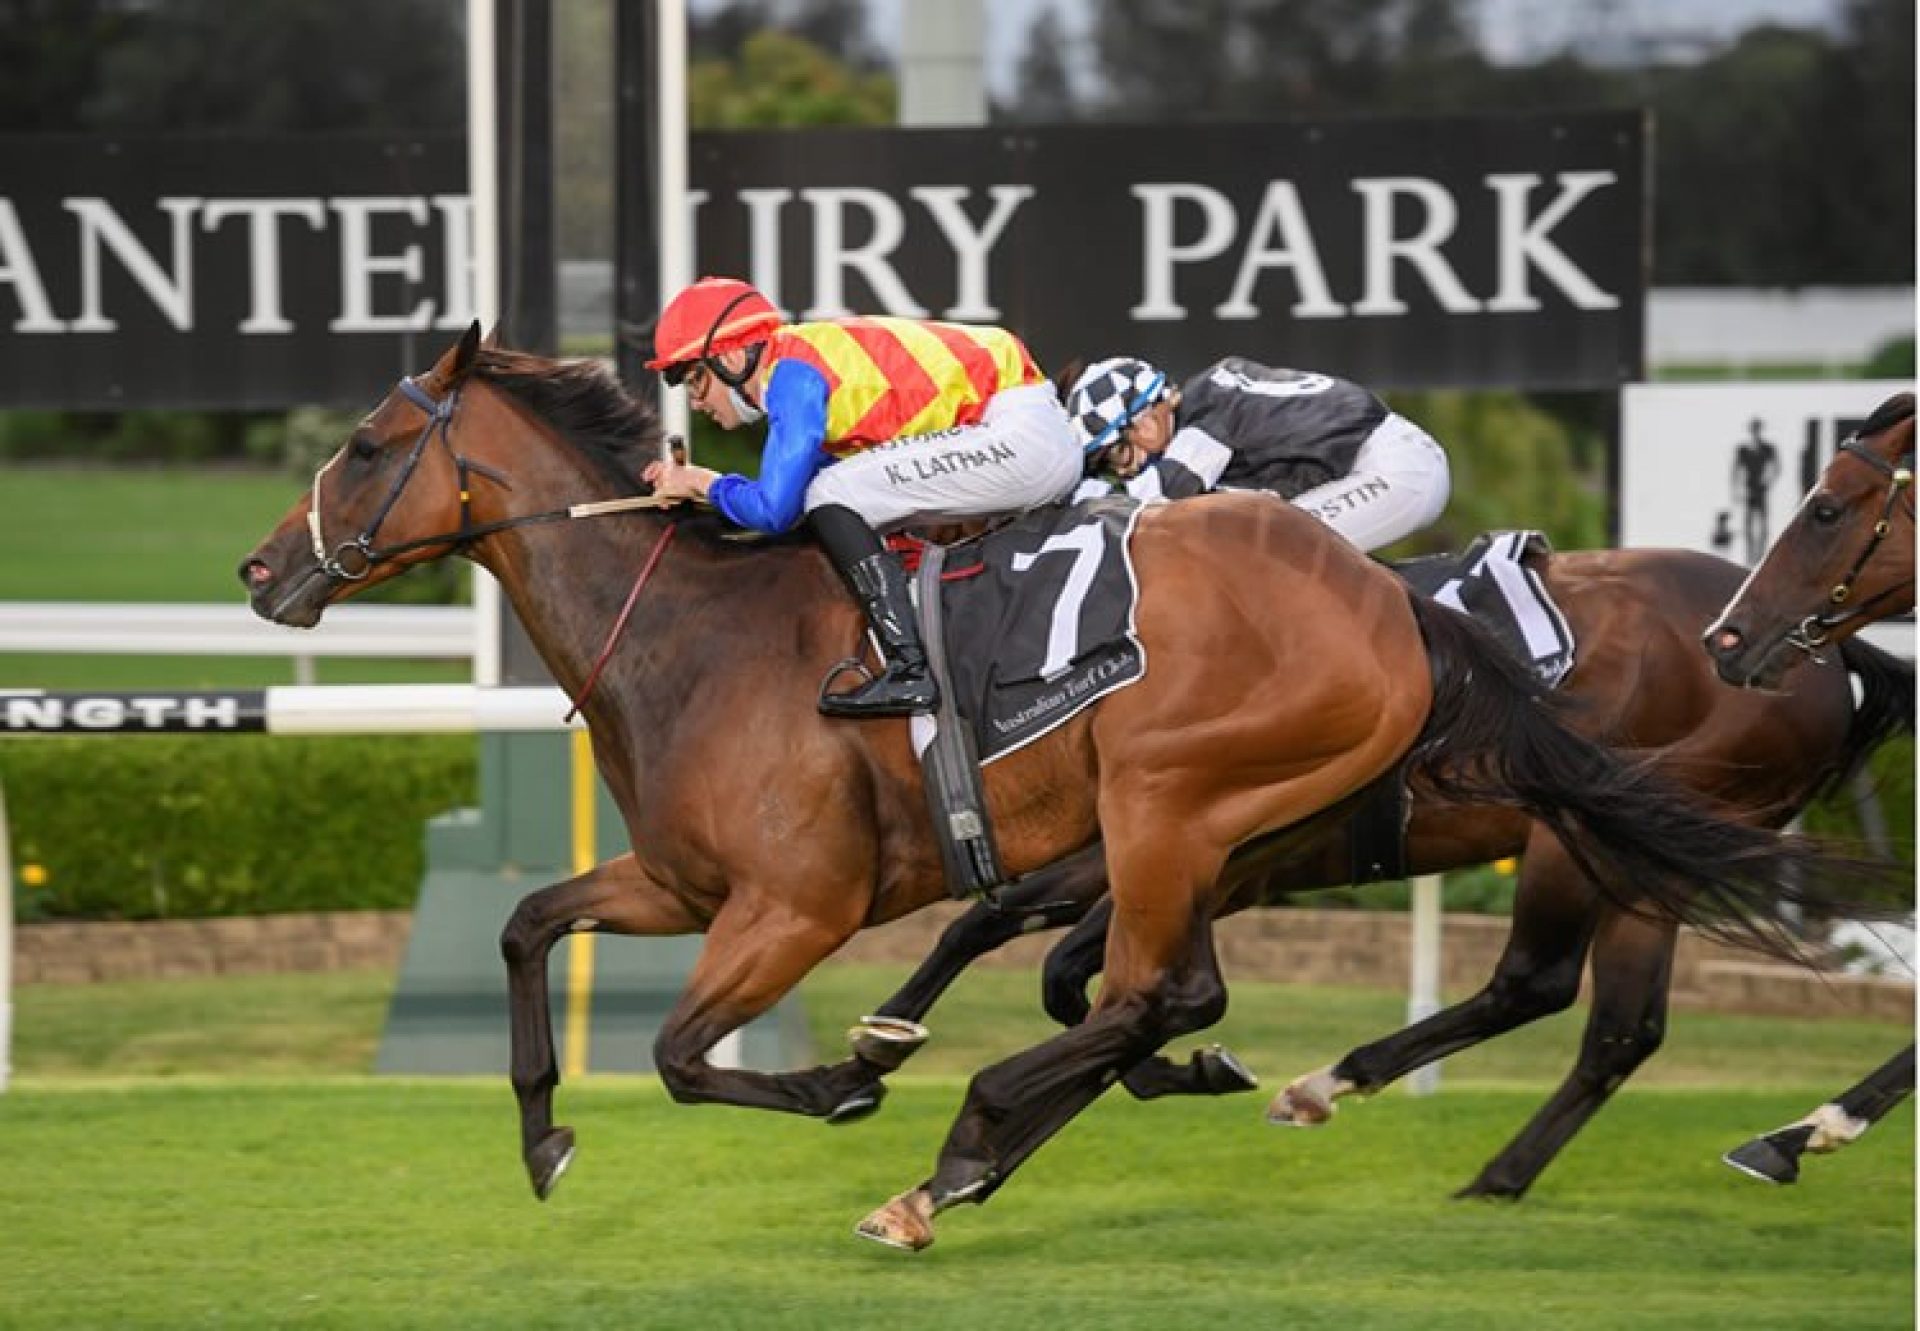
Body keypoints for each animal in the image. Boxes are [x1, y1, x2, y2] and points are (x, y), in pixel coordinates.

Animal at [852, 541, 1904, 1190]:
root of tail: (1824, 658)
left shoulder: (1165, 851)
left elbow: (1056, 958)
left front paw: (888, 1064)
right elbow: (1025, 943)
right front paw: (881, 1055)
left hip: (1581, 837)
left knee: (1537, 984)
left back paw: (1334, 1084)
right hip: (1642, 856)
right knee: (1620, 1028)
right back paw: (1502, 1175)